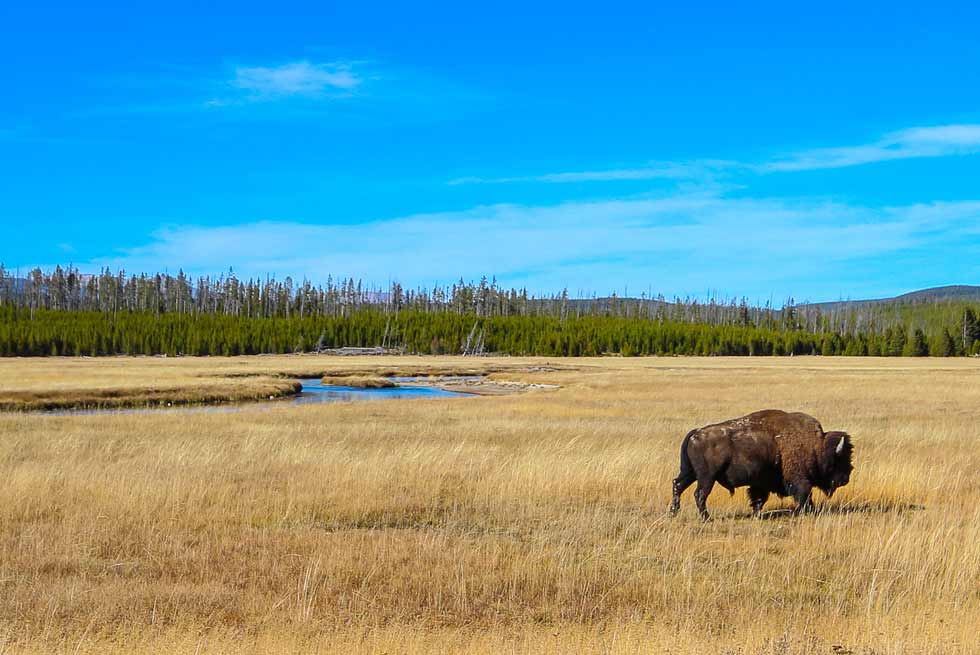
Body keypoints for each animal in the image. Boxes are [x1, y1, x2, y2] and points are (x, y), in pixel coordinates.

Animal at [669, 409, 853, 520]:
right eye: (839, 459)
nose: (845, 479)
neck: (816, 446)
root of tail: (696, 433)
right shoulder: (800, 480)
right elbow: (804, 495)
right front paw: (809, 511)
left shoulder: (760, 483)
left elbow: (758, 498)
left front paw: (757, 514)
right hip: (707, 477)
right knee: (699, 494)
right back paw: (706, 518)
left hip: (690, 472)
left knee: (678, 485)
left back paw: (674, 512)